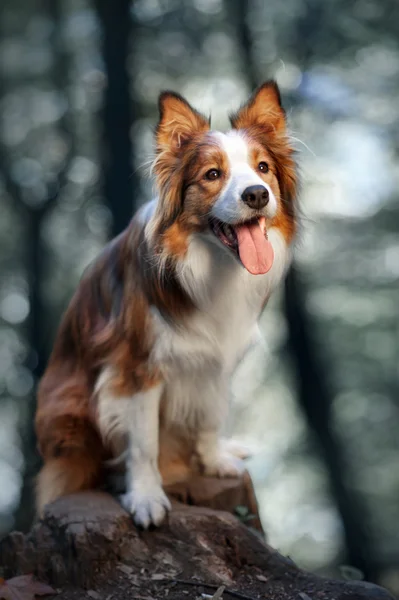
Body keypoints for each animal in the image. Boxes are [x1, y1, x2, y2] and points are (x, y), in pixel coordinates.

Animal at [36, 81, 298, 528]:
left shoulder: (216, 359)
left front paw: (213, 460)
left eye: (263, 168)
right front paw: (145, 497)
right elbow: (143, 444)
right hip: (70, 412)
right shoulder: (136, 367)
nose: (256, 194)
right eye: (212, 174)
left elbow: (209, 415)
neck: (209, 263)